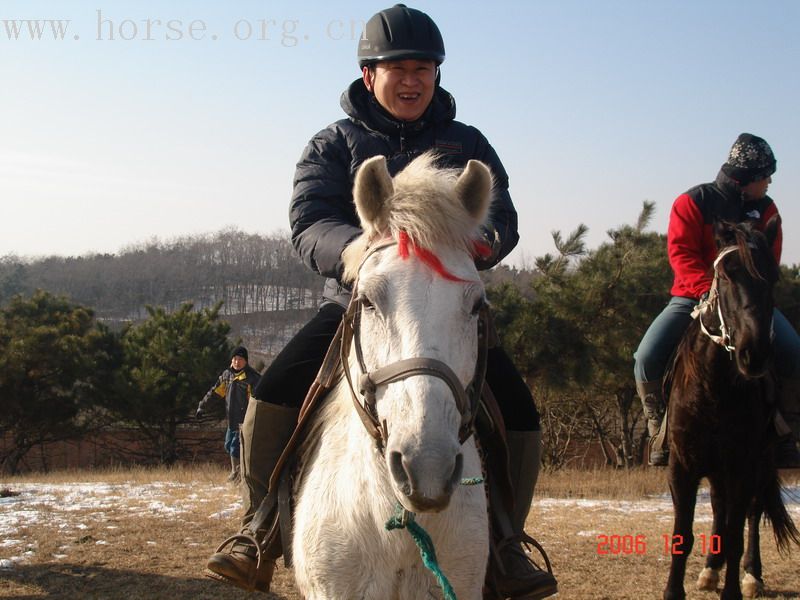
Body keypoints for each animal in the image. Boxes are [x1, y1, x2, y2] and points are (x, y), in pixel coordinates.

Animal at [664, 219, 800, 600]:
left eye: (773, 277)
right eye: (726, 275)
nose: (754, 354)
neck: (715, 387)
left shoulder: (743, 463)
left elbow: (739, 531)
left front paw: (735, 587)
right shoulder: (683, 465)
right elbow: (683, 535)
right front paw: (675, 590)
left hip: (759, 461)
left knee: (751, 513)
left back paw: (751, 574)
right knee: (719, 506)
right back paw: (711, 568)